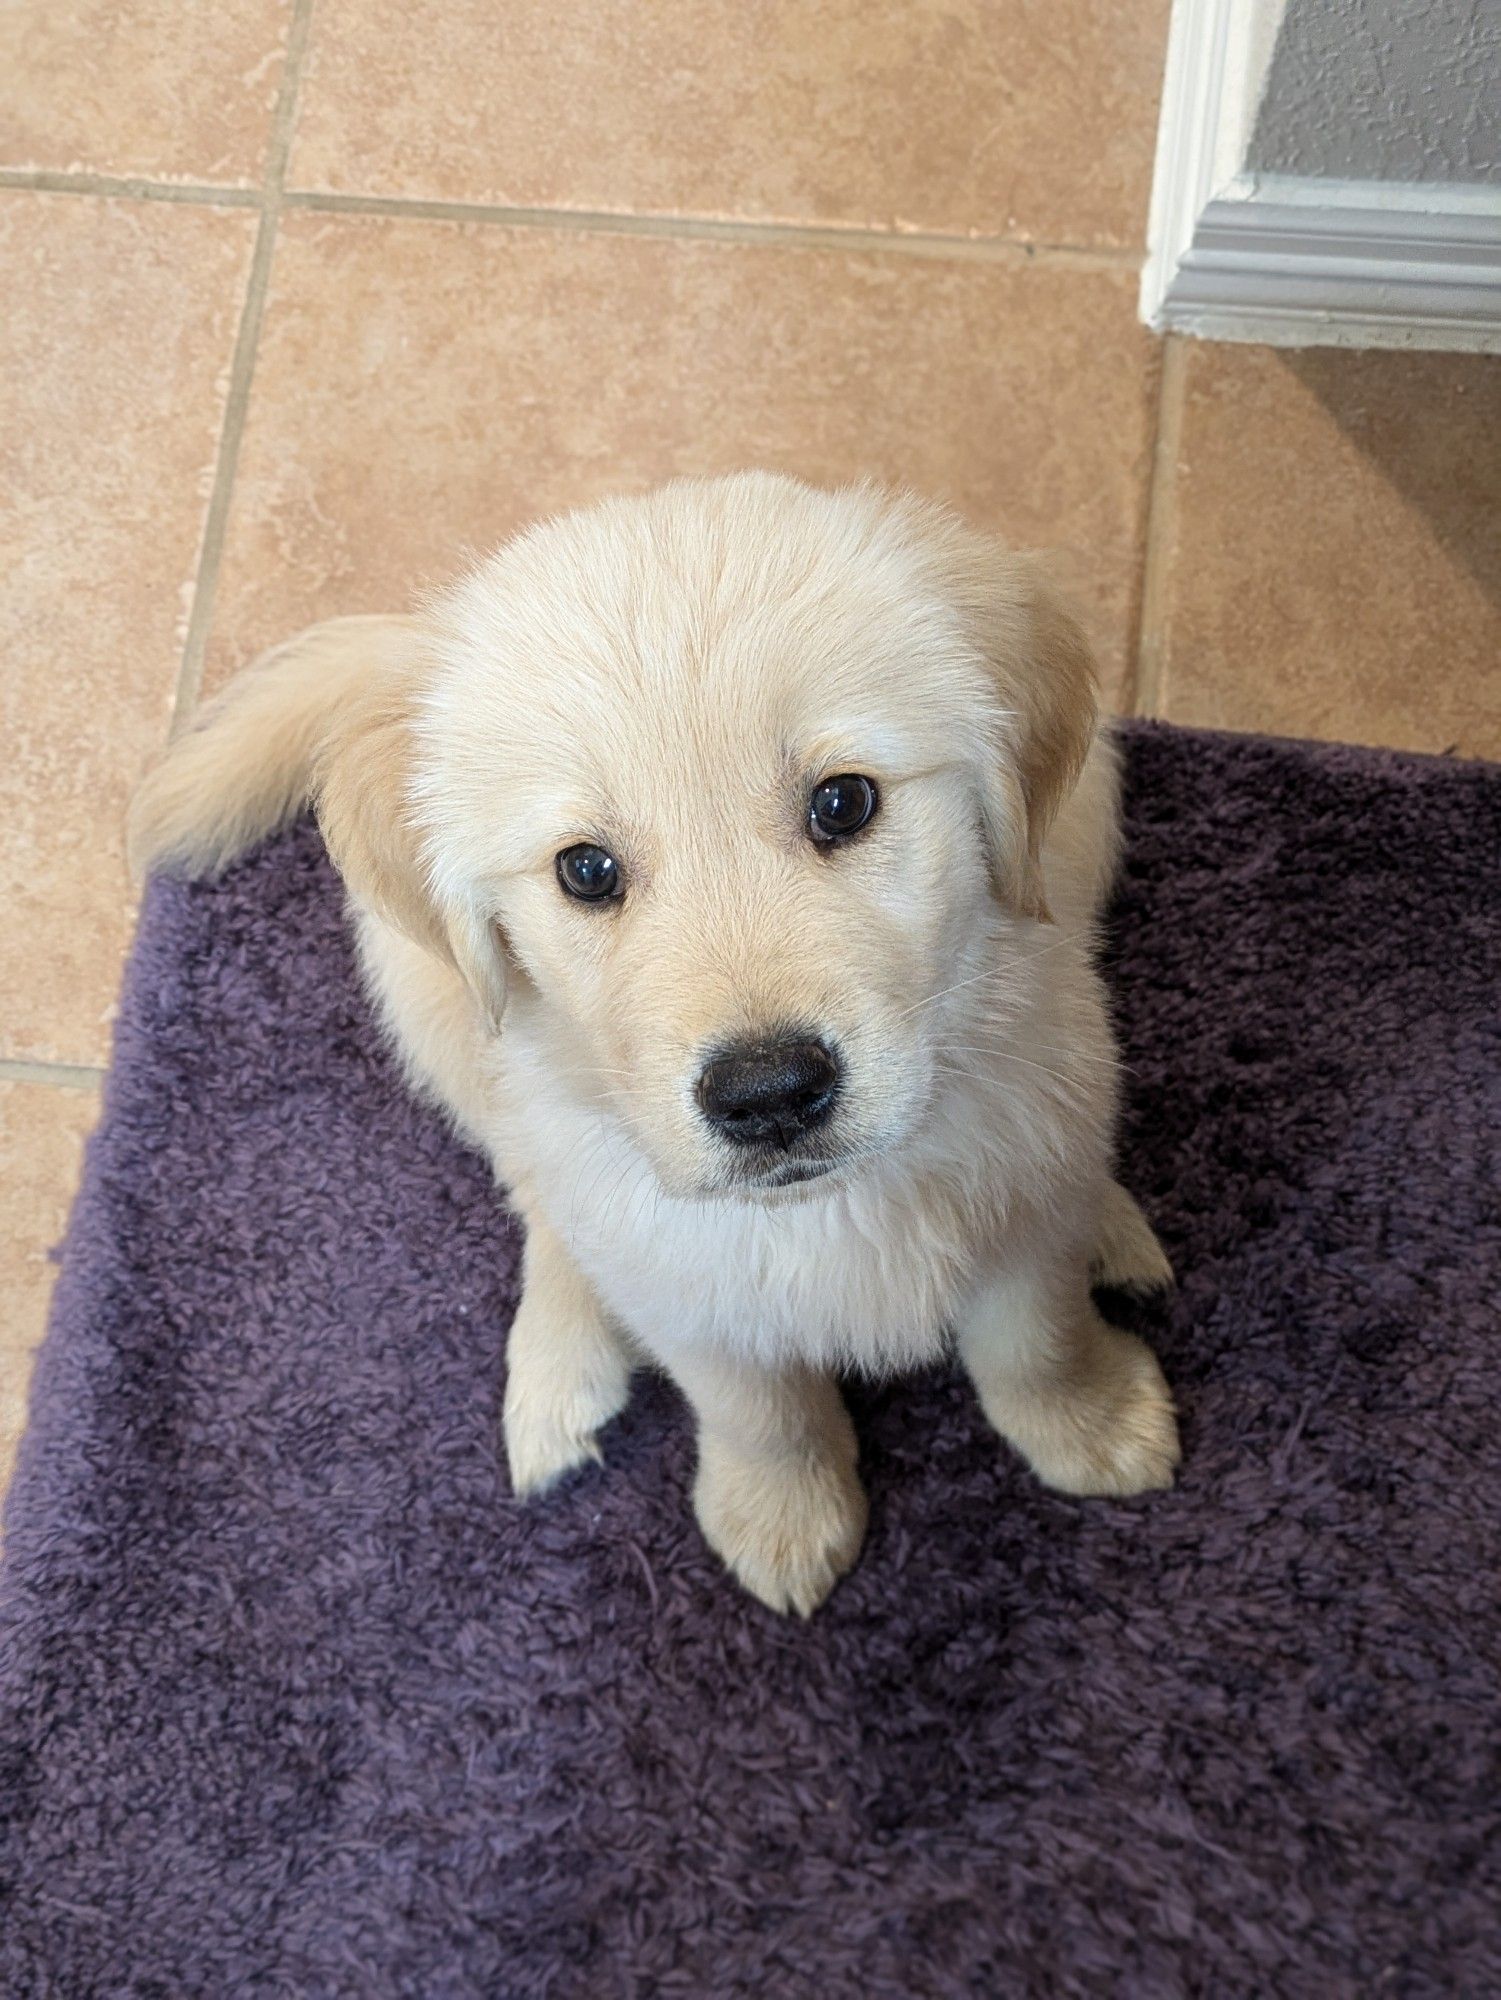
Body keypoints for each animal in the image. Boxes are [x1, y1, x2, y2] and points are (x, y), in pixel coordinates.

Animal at [132, 476, 1176, 1616]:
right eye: (585, 869)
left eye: (844, 800)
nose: (768, 1092)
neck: (824, 1206)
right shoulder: (685, 1291)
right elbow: (756, 1405)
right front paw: (780, 1512)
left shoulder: (1028, 1184)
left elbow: (1037, 1332)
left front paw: (1089, 1422)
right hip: (435, 1006)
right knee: (536, 1186)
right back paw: (556, 1364)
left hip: (1084, 824)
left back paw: (1109, 1218)